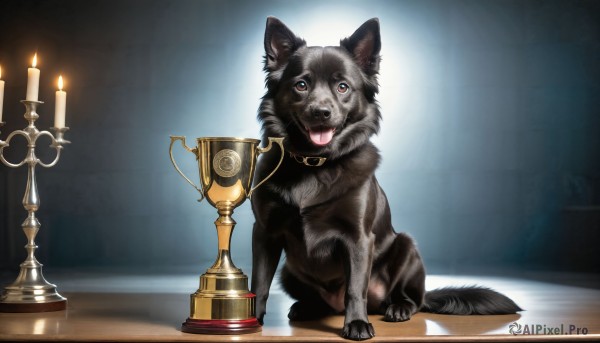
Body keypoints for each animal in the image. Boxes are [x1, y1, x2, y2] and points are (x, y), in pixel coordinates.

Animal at [248, 16, 520, 342]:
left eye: (343, 87)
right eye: (301, 85)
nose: (321, 112)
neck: (314, 163)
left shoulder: (358, 238)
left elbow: (355, 288)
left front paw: (356, 323)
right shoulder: (265, 232)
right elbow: (258, 282)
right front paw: (250, 319)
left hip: (407, 247)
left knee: (411, 299)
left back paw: (398, 308)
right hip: (289, 270)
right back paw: (307, 307)